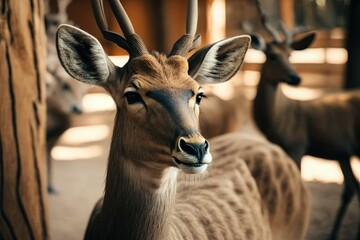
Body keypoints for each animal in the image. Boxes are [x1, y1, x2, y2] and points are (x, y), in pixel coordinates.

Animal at [250, 0, 360, 238]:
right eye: (272, 55)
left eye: (291, 54)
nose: (296, 78)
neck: (279, 120)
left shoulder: (297, 145)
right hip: (343, 152)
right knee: (351, 187)